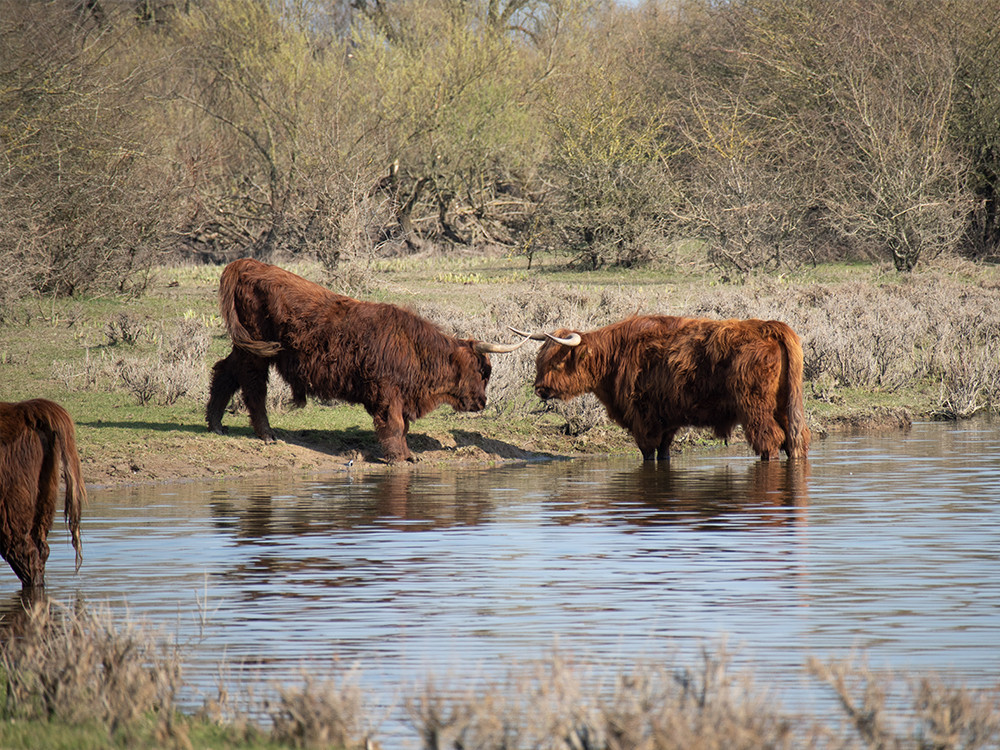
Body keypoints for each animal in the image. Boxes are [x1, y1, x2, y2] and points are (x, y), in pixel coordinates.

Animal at [207, 258, 528, 464]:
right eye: (483, 371)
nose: (482, 402)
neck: (416, 350)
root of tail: (248, 264)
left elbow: (403, 427)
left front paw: (408, 454)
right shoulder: (387, 393)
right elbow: (395, 425)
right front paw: (400, 458)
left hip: (246, 348)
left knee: (225, 371)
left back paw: (215, 424)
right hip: (257, 352)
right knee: (253, 387)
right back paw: (267, 435)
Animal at [512, 314, 808, 462]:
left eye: (557, 362)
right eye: (539, 360)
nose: (539, 389)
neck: (615, 355)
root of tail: (770, 327)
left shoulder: (643, 418)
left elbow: (648, 452)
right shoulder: (668, 419)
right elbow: (664, 452)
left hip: (755, 407)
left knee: (770, 441)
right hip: (785, 406)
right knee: (795, 441)